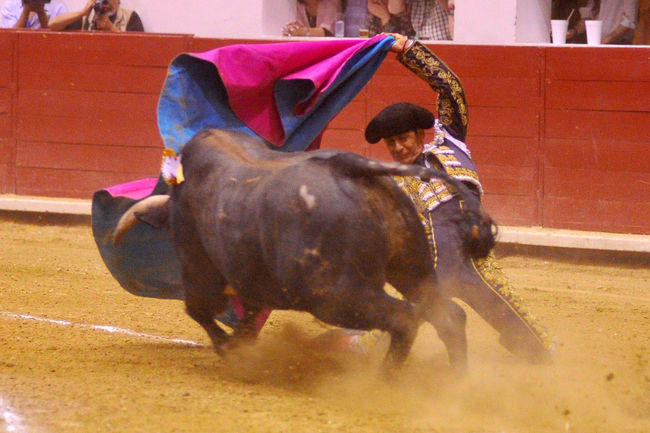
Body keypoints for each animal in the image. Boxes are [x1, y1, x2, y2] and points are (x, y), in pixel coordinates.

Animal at [116, 128, 494, 368]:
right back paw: (456, 378)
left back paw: (385, 380)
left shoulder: (199, 271)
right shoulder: (253, 283)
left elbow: (197, 309)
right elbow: (248, 314)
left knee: (405, 318)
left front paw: (231, 350)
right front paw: (240, 344)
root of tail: (351, 168)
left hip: (337, 296)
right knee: (448, 315)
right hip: (412, 267)